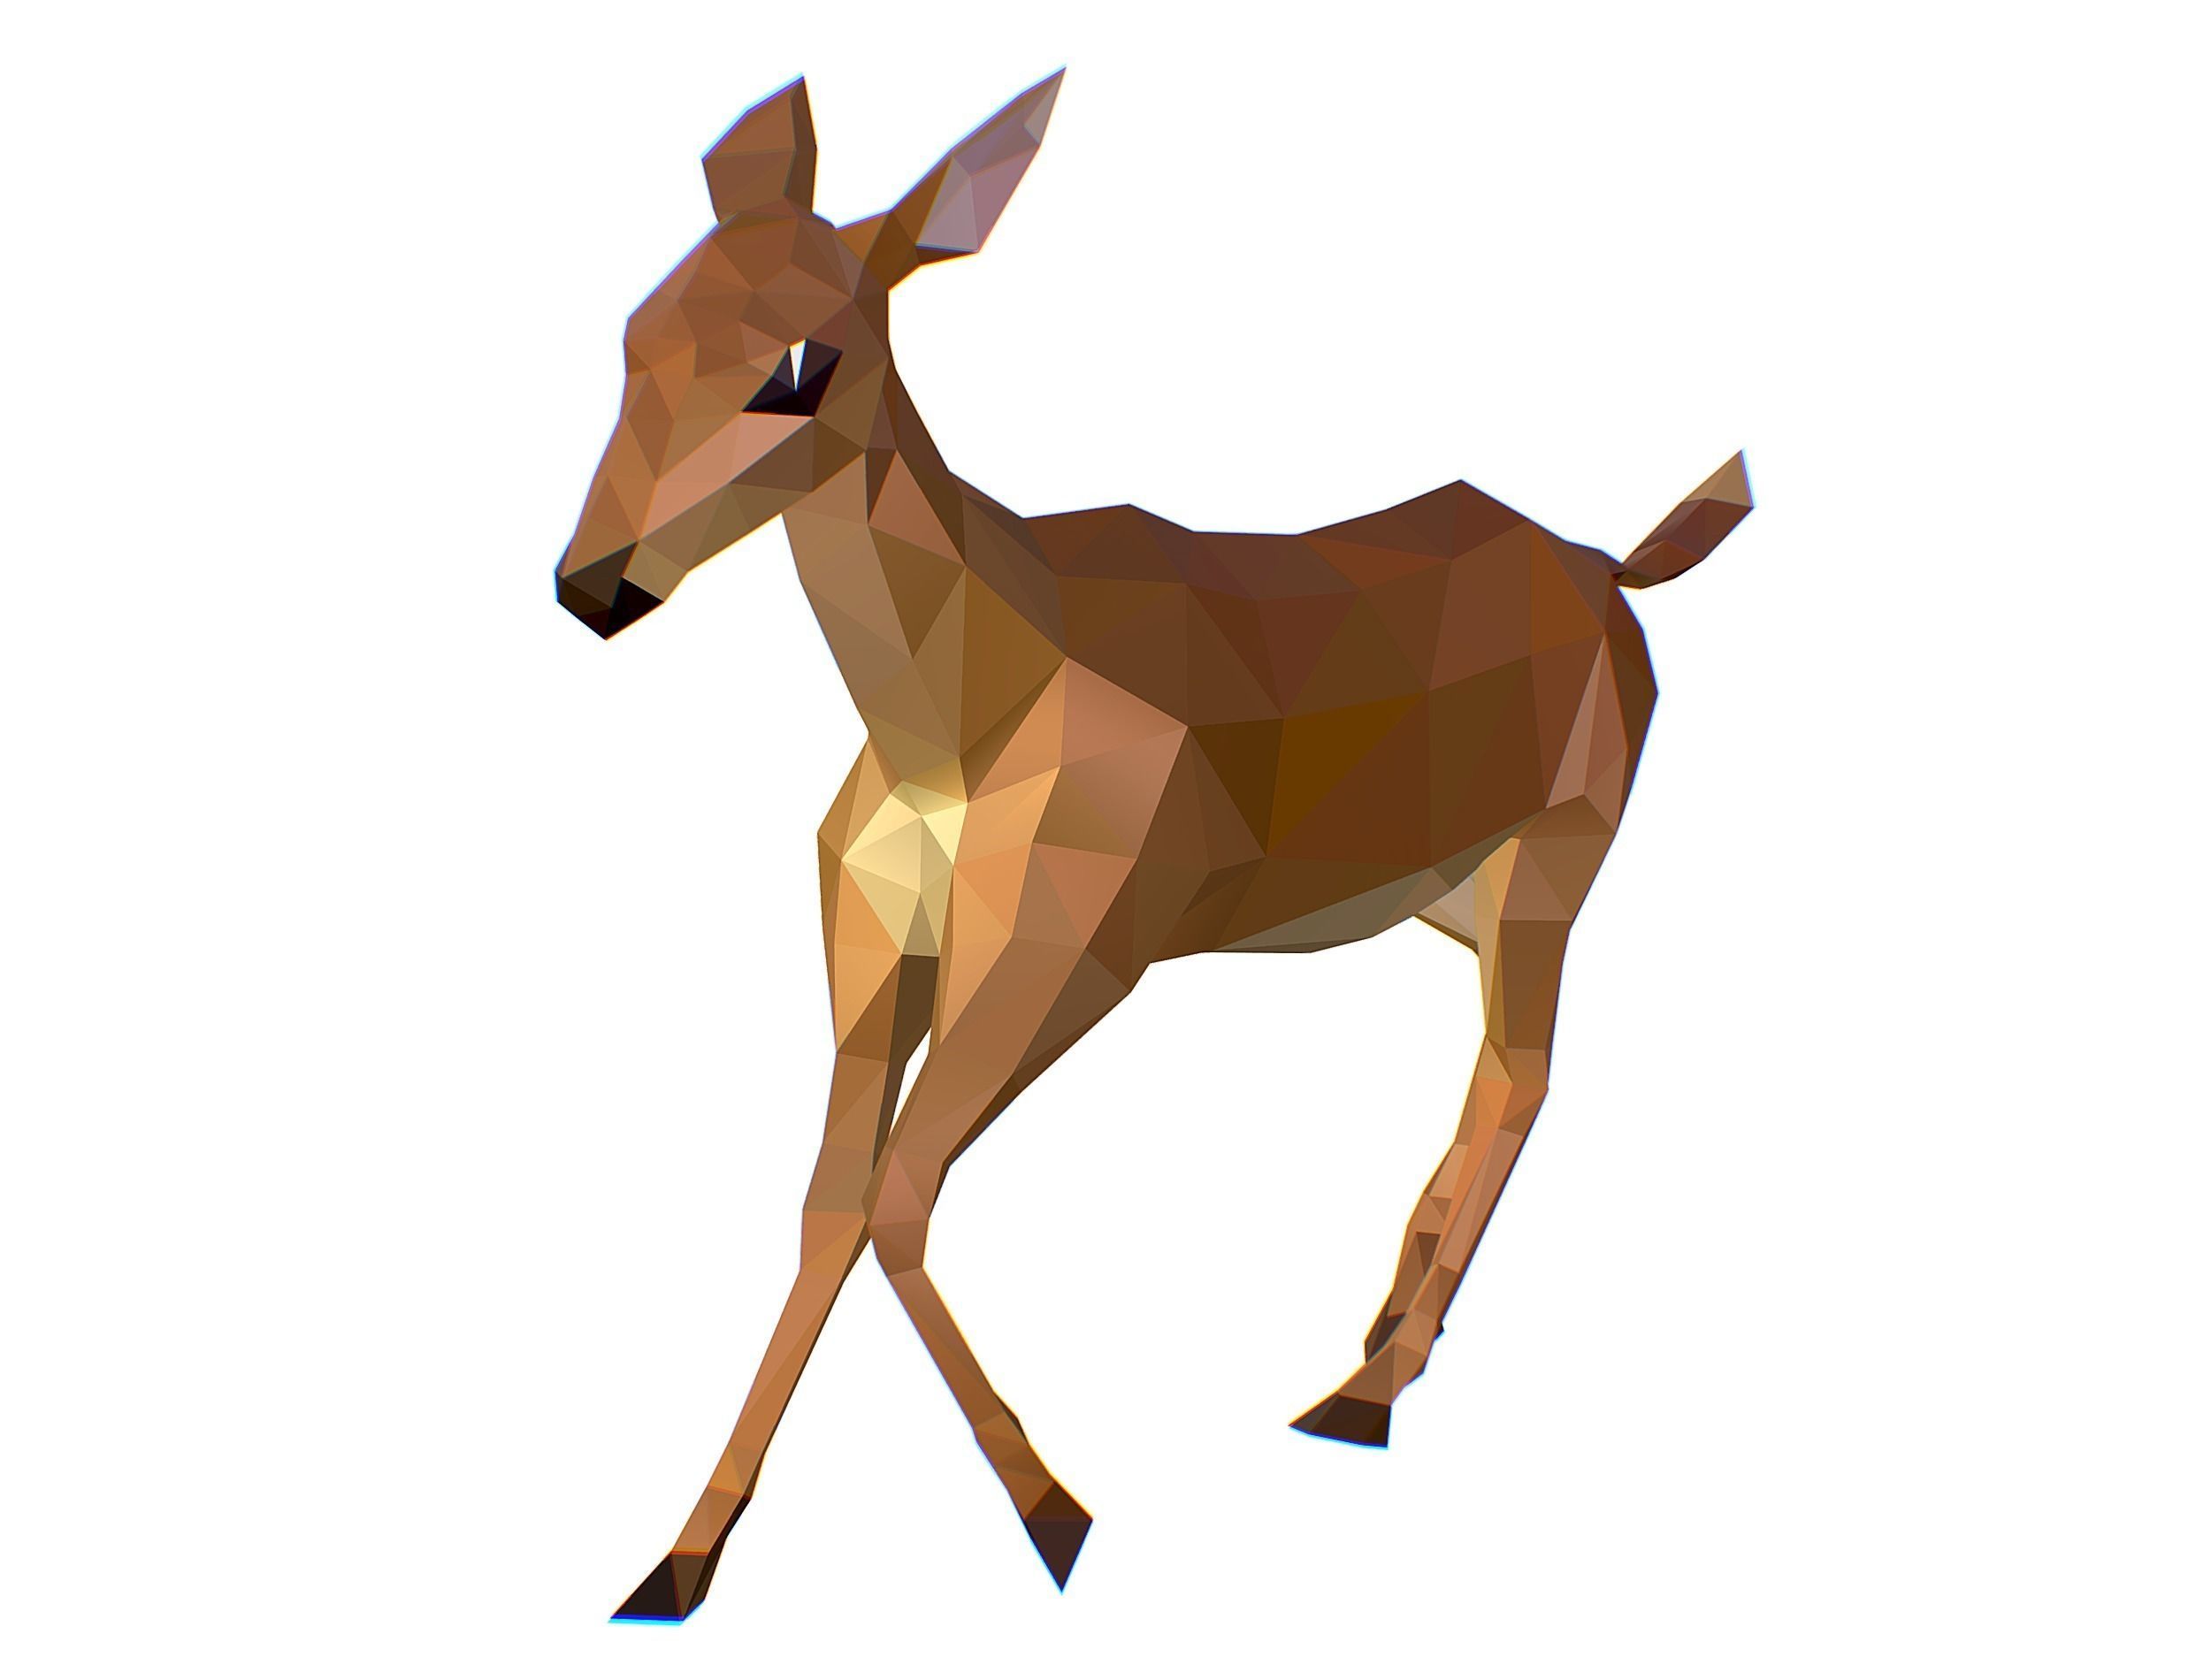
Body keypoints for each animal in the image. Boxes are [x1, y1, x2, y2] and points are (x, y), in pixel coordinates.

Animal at [554, 71, 1751, 1621]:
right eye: (637, 325)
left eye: (802, 362)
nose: (593, 585)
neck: (965, 717)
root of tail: (1616, 572)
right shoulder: (878, 952)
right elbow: (828, 1205)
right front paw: (680, 1559)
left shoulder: (1069, 957)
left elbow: (898, 1197)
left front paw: (1057, 1515)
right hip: (1458, 901)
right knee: (1492, 1073)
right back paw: (1375, 1329)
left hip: (1554, 868)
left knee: (1532, 1079)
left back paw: (1365, 1394)